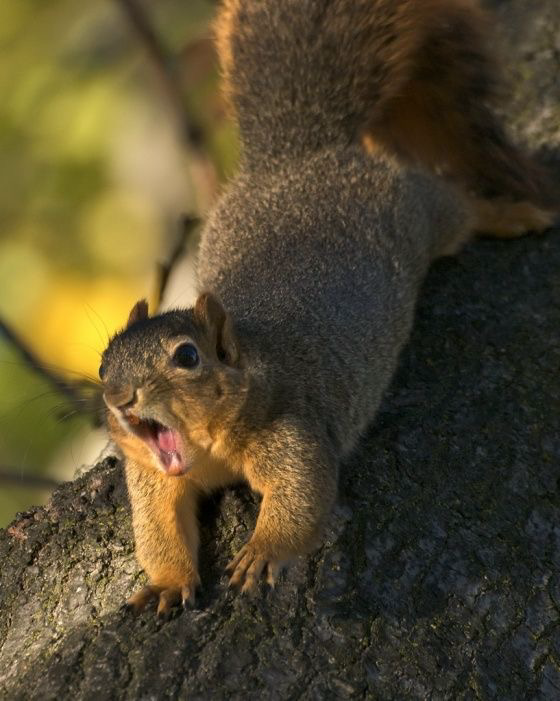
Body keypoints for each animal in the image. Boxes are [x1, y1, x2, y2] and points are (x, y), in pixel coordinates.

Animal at [100, 0, 556, 615]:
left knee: (451, 202)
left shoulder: (294, 425)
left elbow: (304, 494)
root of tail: (300, 153)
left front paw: (264, 551)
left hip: (414, 211)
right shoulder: (152, 479)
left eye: (188, 357)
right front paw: (169, 582)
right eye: (104, 363)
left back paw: (508, 214)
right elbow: (157, 530)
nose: (118, 397)